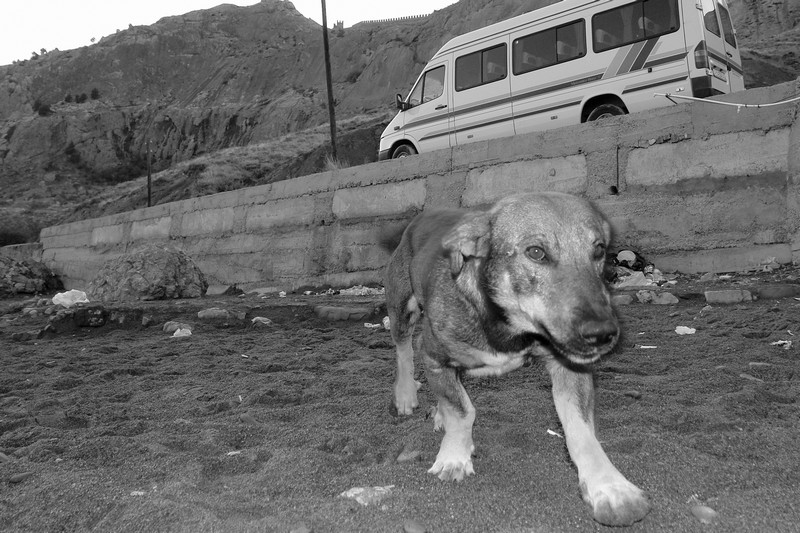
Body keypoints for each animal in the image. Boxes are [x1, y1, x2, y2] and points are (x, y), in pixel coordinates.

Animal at [381, 192, 651, 526]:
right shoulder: (432, 354)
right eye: (536, 252)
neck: (512, 325)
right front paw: (454, 456)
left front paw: (609, 486)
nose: (602, 334)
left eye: (599, 249)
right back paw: (406, 394)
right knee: (403, 351)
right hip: (401, 309)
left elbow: (581, 431)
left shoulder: (571, 367)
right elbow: (462, 411)